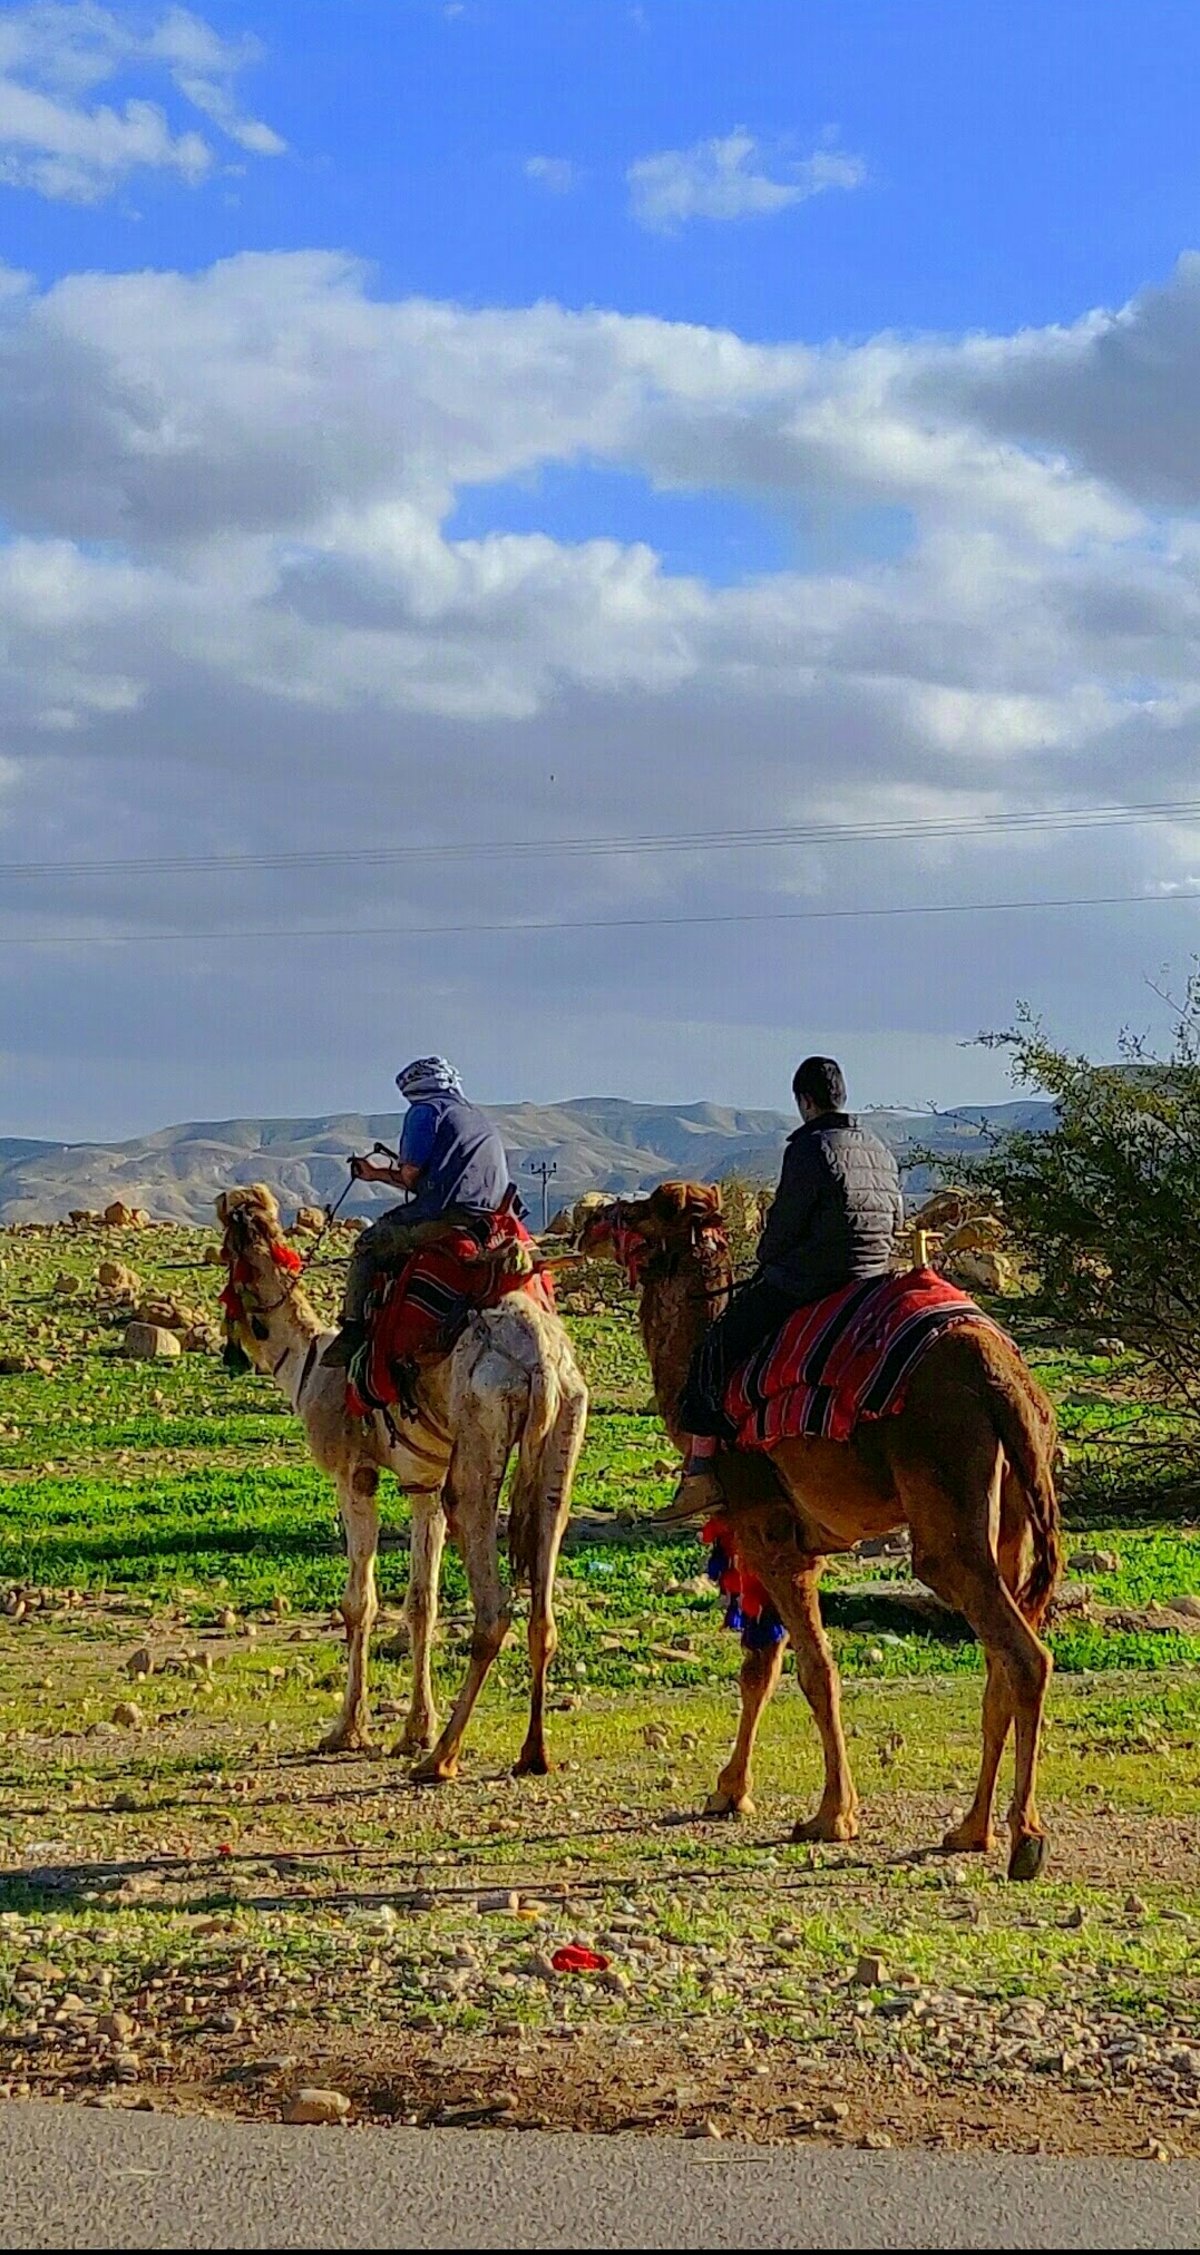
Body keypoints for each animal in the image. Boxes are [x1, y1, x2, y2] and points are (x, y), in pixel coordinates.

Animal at [218, 1181, 590, 1776]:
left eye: (225, 1260)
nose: (229, 1345)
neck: (306, 1365)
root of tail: (540, 1365)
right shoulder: (422, 1483)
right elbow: (421, 1603)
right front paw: (414, 1729)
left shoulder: (354, 1474)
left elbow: (359, 1602)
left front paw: (347, 1730)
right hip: (566, 1432)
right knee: (543, 1604)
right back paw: (532, 1753)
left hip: (481, 1425)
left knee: (492, 1605)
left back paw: (441, 1760)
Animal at [581, 1190, 1060, 1876]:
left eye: (649, 1208)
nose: (592, 1219)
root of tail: (1006, 1378)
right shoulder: (788, 1539)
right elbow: (762, 1663)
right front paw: (730, 1791)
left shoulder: (766, 1529)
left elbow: (814, 1668)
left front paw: (832, 1816)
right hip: (1015, 1518)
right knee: (1001, 1657)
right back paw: (971, 1830)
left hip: (946, 1496)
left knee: (1021, 1652)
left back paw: (1025, 1838)